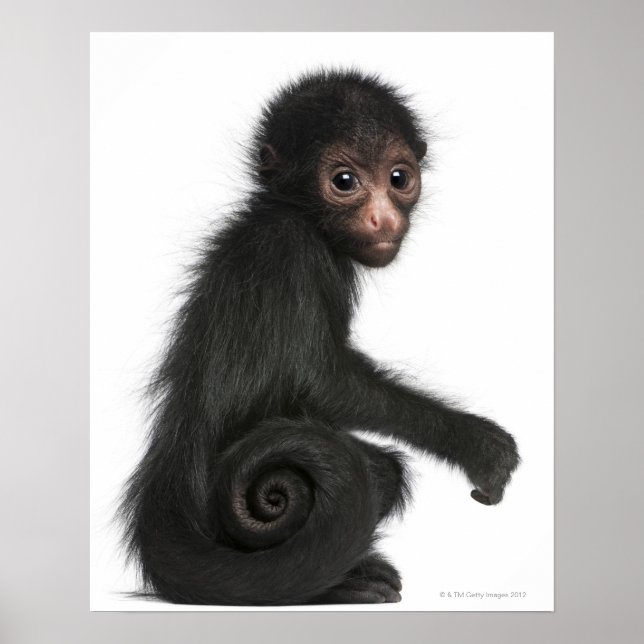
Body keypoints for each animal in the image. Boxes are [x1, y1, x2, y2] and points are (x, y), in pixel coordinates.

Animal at [120, 68, 520, 606]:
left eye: (399, 178)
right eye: (344, 182)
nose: (383, 218)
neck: (291, 213)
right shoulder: (293, 250)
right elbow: (320, 382)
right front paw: (476, 442)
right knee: (378, 470)